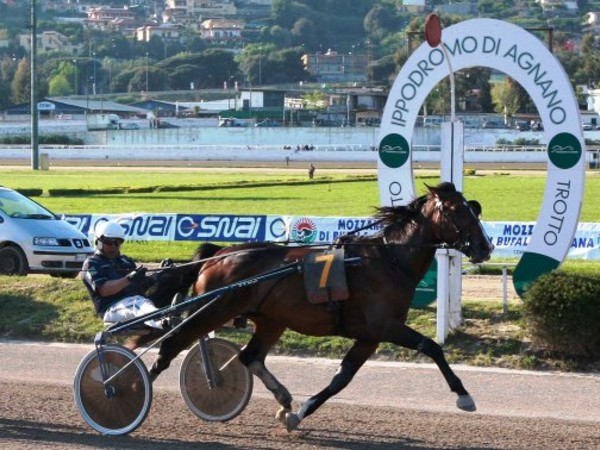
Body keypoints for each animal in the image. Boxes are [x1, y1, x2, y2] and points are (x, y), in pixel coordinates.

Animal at [149, 182, 492, 428]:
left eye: (472, 207)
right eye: (455, 210)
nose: (485, 246)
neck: (389, 260)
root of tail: (217, 255)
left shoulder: (369, 336)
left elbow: (342, 378)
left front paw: (298, 413)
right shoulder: (385, 326)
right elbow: (432, 347)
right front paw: (464, 396)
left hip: (271, 320)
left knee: (250, 356)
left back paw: (283, 397)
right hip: (212, 310)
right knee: (171, 346)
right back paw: (137, 391)